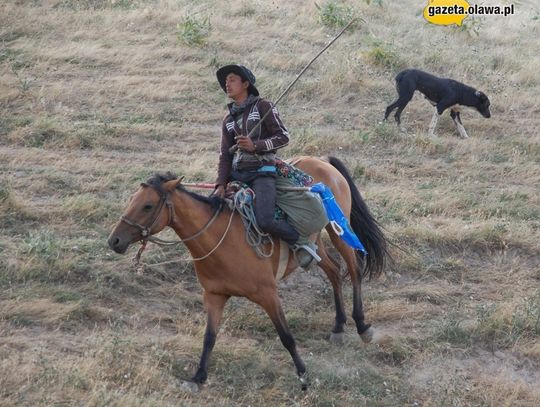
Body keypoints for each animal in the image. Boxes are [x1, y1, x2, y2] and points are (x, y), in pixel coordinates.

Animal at [107, 156, 386, 392]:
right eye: (132, 200)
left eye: (147, 205)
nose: (114, 240)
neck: (221, 240)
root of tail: (321, 160)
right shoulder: (214, 296)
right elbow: (209, 338)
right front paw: (198, 378)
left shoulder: (269, 295)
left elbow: (286, 337)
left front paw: (303, 377)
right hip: (317, 245)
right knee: (335, 273)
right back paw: (338, 326)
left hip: (339, 231)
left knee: (354, 271)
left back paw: (362, 326)